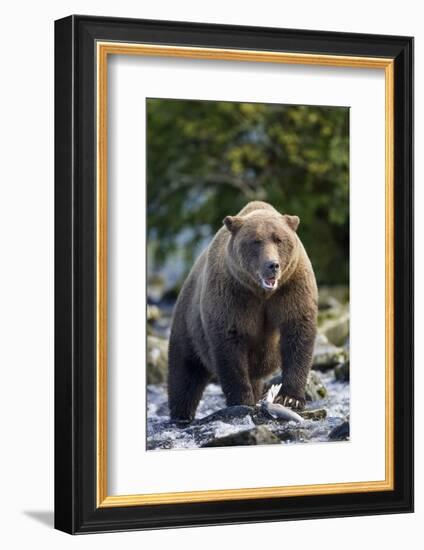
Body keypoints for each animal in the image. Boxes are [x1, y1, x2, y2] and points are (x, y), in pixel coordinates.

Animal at [167, 203, 316, 422]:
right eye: (256, 241)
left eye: (279, 239)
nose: (272, 265)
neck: (261, 292)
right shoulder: (232, 295)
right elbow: (230, 345)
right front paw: (241, 400)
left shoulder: (292, 287)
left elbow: (298, 332)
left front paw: (290, 398)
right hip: (187, 325)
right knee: (185, 372)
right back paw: (181, 414)